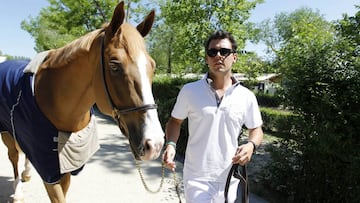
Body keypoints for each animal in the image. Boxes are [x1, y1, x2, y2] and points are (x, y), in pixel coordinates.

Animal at [0, 1, 164, 203]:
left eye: (153, 66)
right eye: (114, 66)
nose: (155, 144)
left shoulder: (67, 167)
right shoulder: (50, 172)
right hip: (6, 131)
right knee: (13, 156)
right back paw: (17, 192)